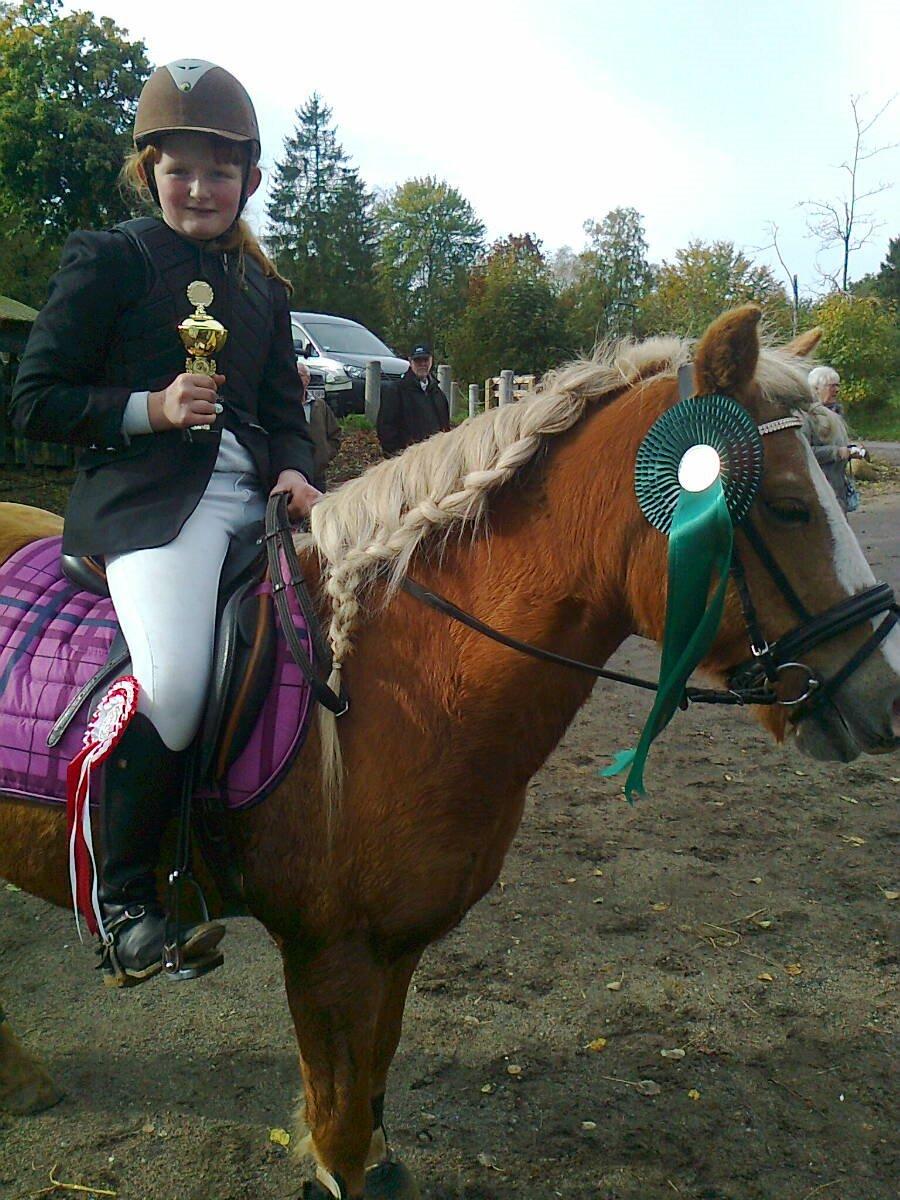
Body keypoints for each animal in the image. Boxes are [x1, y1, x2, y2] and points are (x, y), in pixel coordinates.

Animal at [1, 307, 900, 1190]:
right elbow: (339, 1132)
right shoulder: (329, 955)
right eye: (789, 505)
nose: (882, 699)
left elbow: (374, 1086)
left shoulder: (394, 946)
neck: (397, 675)